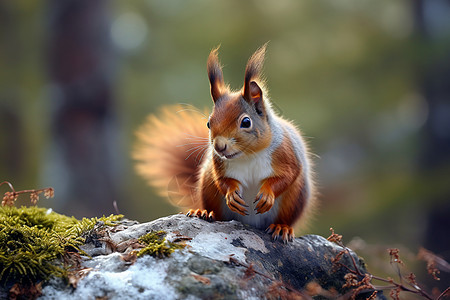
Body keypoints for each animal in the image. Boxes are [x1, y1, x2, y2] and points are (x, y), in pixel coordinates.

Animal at [134, 43, 316, 243]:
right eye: (208, 123)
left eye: (246, 122)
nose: (219, 146)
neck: (248, 156)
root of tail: (253, 225)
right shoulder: (218, 165)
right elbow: (222, 181)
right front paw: (231, 195)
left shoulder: (286, 154)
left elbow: (287, 176)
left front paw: (267, 193)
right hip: (207, 185)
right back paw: (204, 213)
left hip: (295, 196)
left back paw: (281, 227)